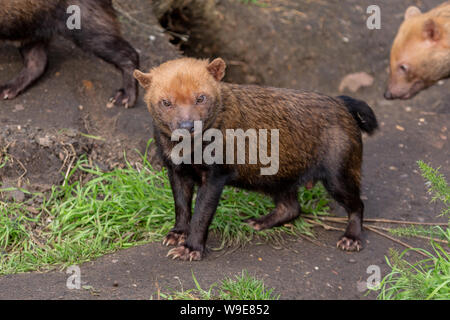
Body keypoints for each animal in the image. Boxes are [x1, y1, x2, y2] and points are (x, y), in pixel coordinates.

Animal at [133, 57, 376, 262]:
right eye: (166, 102)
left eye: (200, 97)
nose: (187, 126)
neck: (189, 150)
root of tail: (341, 103)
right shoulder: (176, 170)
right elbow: (182, 206)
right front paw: (177, 234)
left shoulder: (215, 175)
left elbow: (202, 213)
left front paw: (190, 248)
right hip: (278, 176)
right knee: (291, 207)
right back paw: (258, 222)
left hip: (338, 175)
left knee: (357, 204)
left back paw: (351, 239)